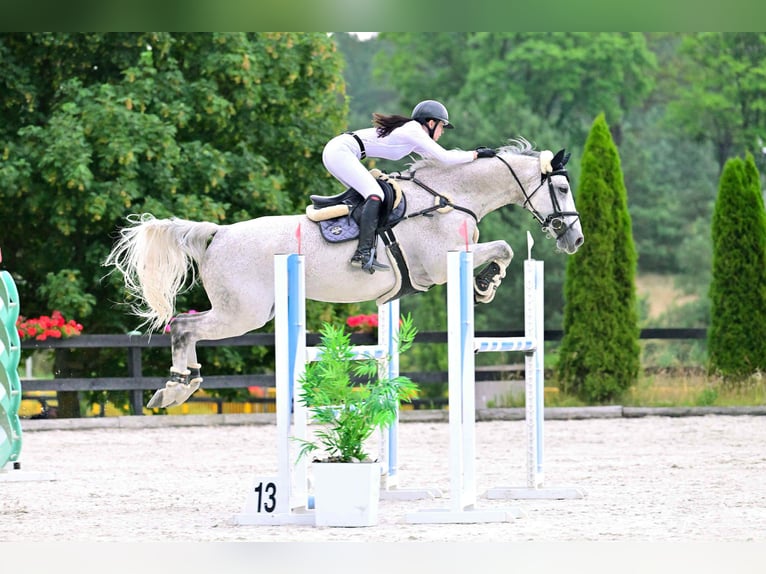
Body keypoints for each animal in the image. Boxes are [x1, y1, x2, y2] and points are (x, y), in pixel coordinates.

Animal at [104, 138, 584, 408]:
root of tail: (217, 233)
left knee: (184, 328)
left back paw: (181, 384)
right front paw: (485, 285)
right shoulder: (441, 262)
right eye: (561, 188)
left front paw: (484, 284)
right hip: (243, 314)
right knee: (185, 327)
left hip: (245, 312)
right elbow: (503, 248)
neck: (450, 196)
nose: (575, 240)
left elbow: (503, 248)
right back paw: (176, 388)